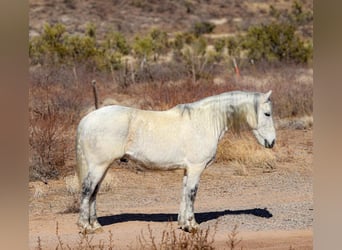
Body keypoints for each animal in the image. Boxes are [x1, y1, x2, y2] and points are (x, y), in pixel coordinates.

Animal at [75, 91, 276, 233]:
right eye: (267, 113)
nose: (272, 142)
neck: (205, 121)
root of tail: (87, 119)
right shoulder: (196, 168)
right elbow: (192, 194)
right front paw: (192, 226)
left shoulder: (187, 169)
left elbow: (184, 194)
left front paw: (183, 224)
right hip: (98, 166)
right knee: (87, 190)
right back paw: (85, 227)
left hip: (101, 167)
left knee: (94, 192)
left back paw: (95, 225)